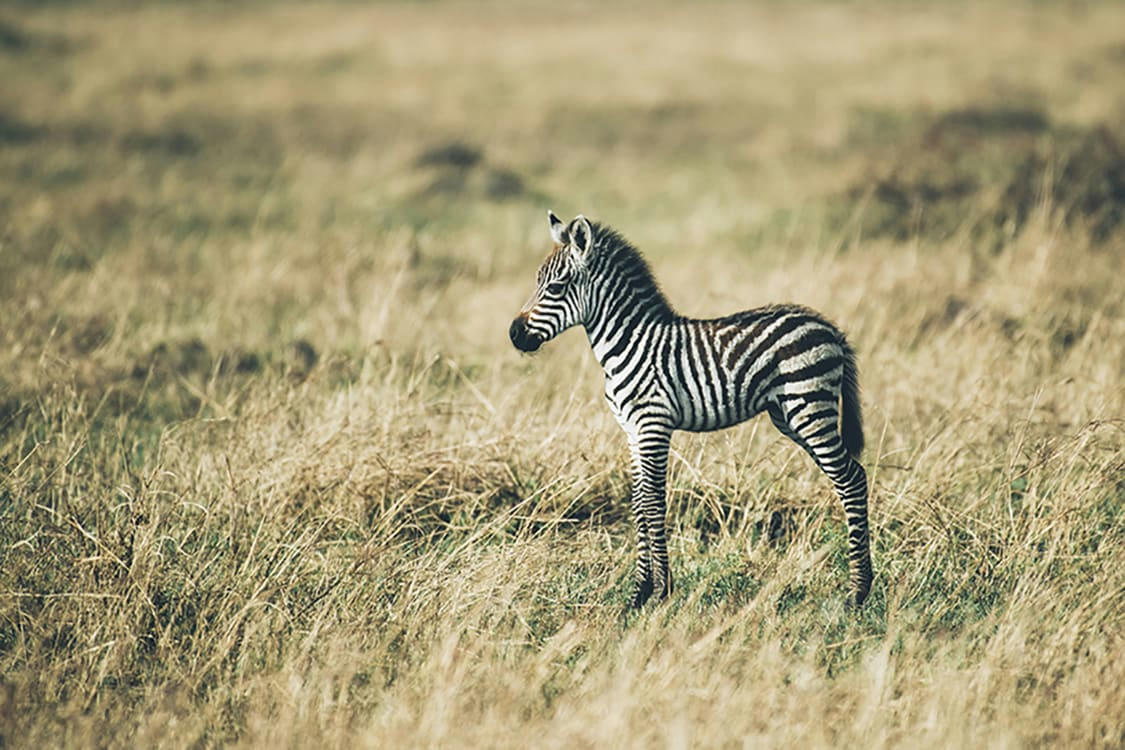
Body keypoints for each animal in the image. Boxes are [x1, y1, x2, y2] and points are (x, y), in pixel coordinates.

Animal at [509, 211, 873, 609]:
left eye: (556, 287)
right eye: (537, 283)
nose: (514, 334)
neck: (628, 343)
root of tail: (829, 328)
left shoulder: (653, 425)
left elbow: (653, 502)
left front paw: (660, 592)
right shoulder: (631, 430)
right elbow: (638, 502)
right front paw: (638, 594)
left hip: (810, 407)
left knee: (851, 480)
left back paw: (858, 592)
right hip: (790, 415)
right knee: (852, 474)